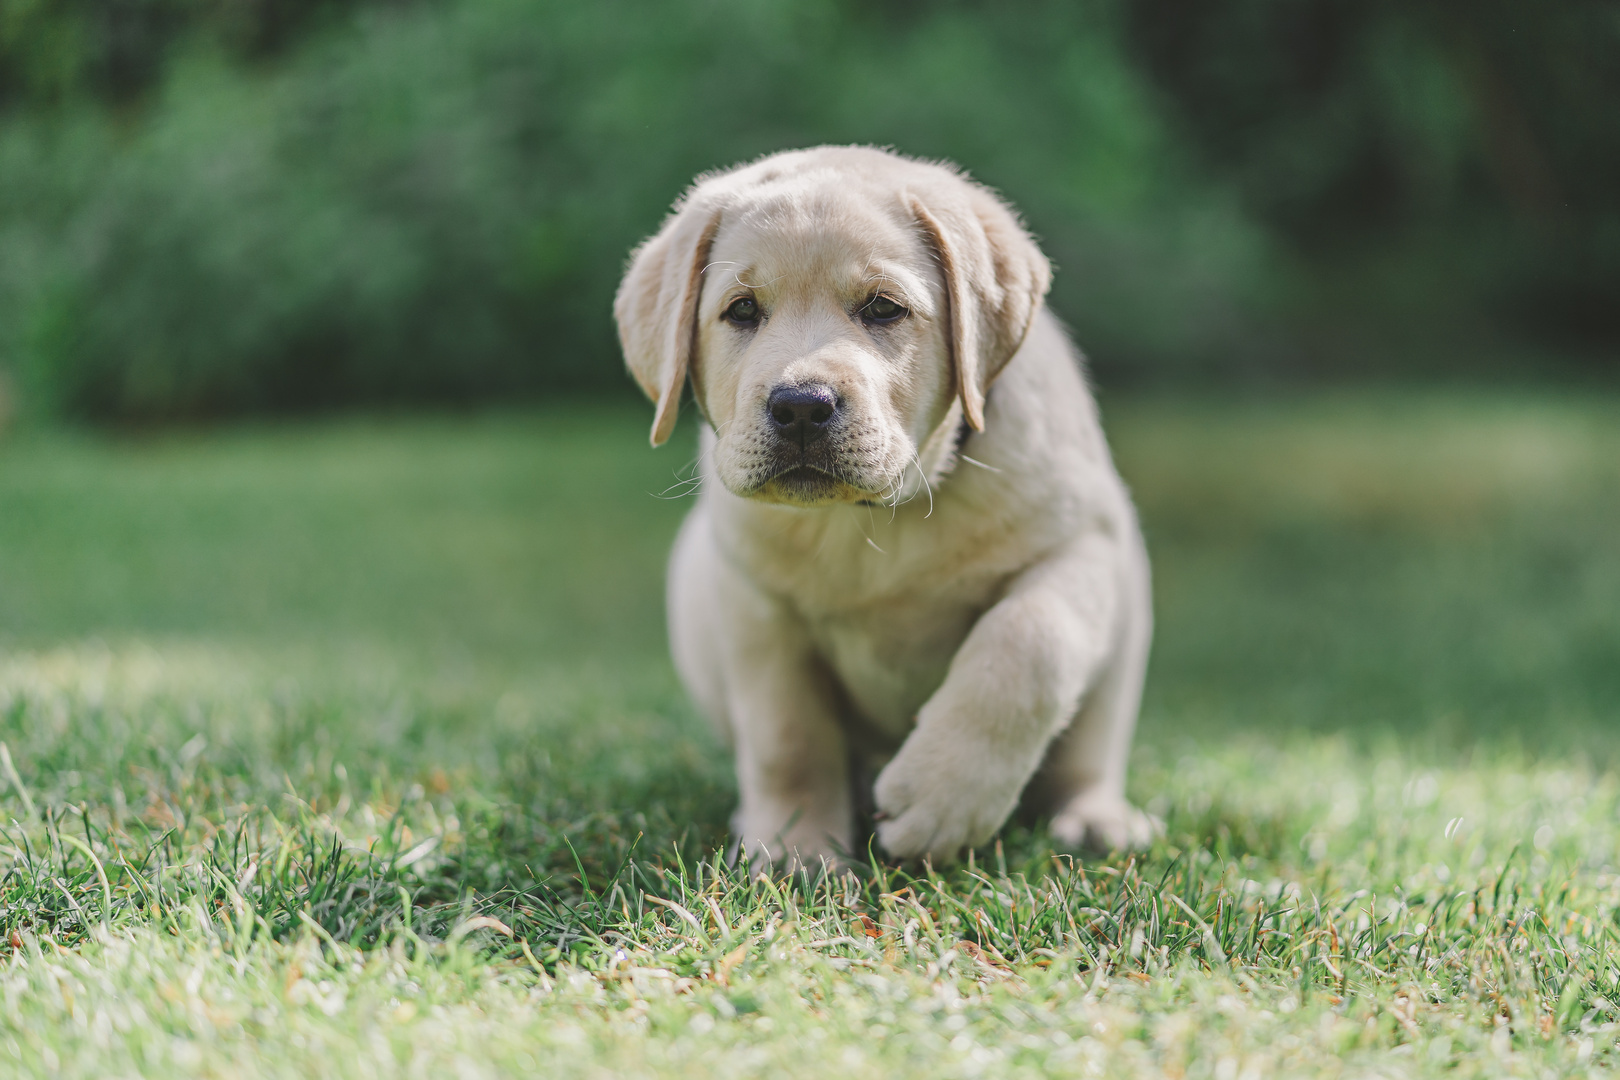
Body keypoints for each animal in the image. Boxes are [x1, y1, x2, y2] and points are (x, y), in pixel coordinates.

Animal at [612, 145, 1159, 867]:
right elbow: (788, 736)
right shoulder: (758, 606)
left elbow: (1028, 644)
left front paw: (941, 798)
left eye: (882, 308)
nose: (801, 406)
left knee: (1086, 753)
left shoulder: (1082, 542)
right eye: (742, 311)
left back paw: (1095, 818)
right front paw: (795, 851)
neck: (872, 517)